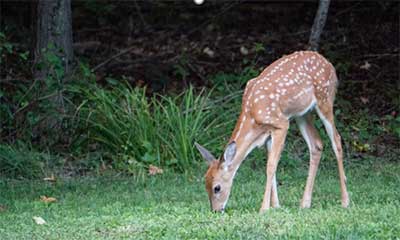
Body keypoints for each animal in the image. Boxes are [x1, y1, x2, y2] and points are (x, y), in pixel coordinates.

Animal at [195, 50, 348, 212]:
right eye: (205, 185)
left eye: (217, 188)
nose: (216, 210)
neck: (253, 116)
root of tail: (330, 65)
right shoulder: (268, 133)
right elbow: (271, 164)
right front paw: (275, 205)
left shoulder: (281, 124)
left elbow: (271, 166)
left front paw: (264, 208)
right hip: (302, 114)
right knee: (316, 144)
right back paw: (305, 203)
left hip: (325, 98)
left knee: (336, 140)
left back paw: (345, 201)